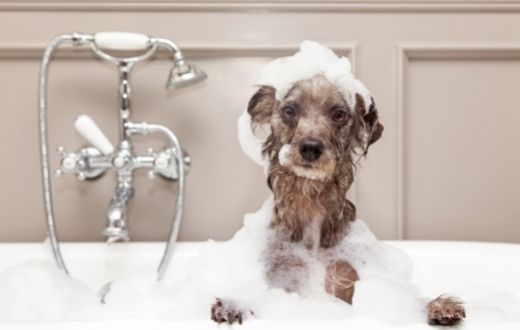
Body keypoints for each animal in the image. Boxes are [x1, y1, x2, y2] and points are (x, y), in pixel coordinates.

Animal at [211, 74, 468, 324]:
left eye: (338, 114)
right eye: (289, 110)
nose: (310, 147)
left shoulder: (348, 278)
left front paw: (437, 305)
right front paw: (236, 304)